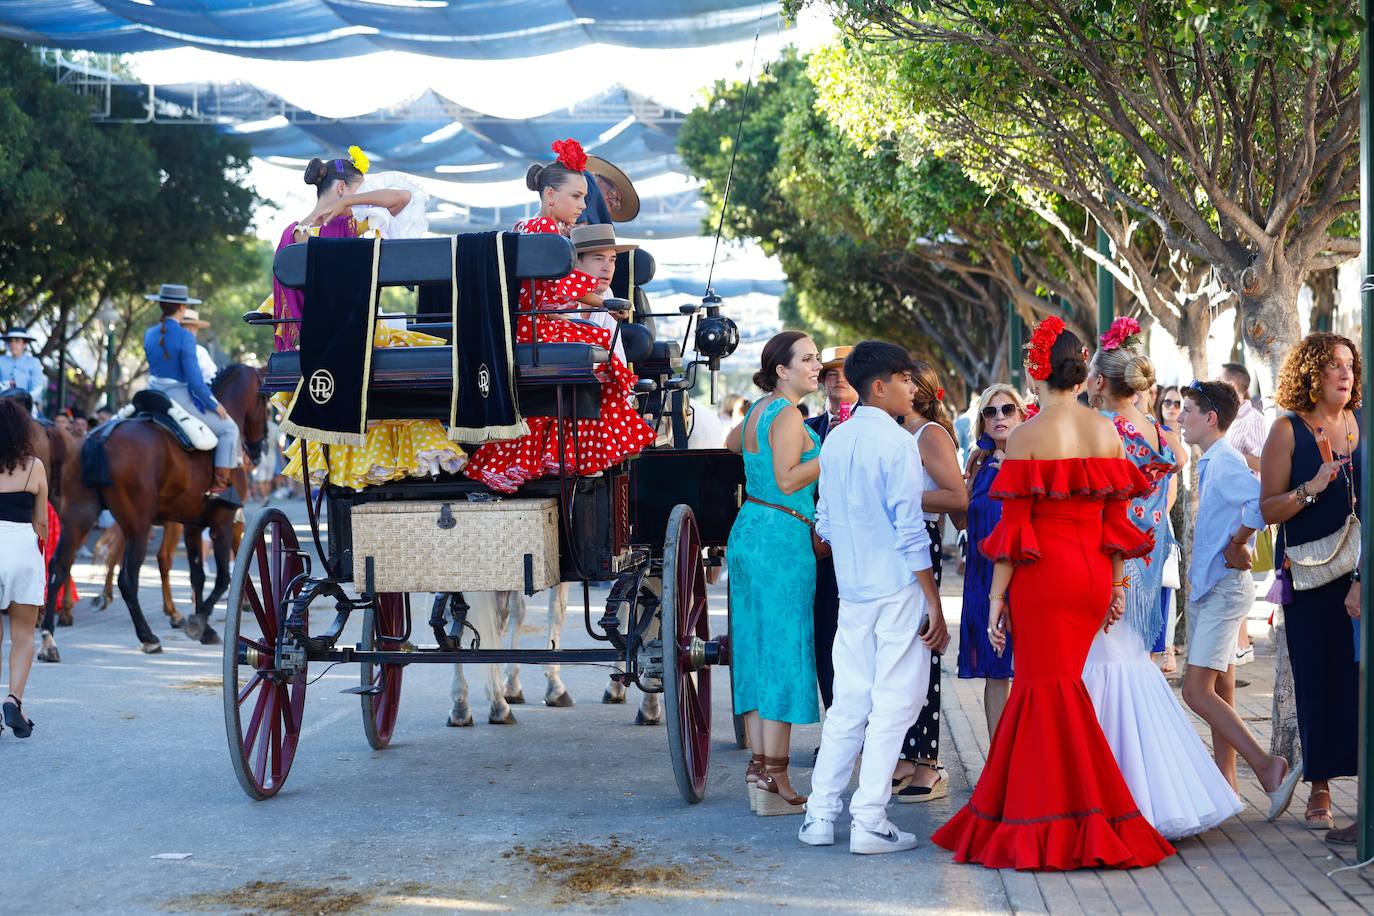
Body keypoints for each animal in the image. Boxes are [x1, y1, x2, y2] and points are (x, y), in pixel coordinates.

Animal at [47, 362, 266, 656]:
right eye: (265, 401)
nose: (258, 448)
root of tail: (101, 437)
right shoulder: (222, 522)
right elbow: (222, 577)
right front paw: (198, 622)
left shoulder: (192, 526)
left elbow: (197, 576)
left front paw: (205, 628)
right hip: (137, 526)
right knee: (128, 579)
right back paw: (148, 636)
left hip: (78, 517)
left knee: (58, 566)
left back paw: (48, 638)